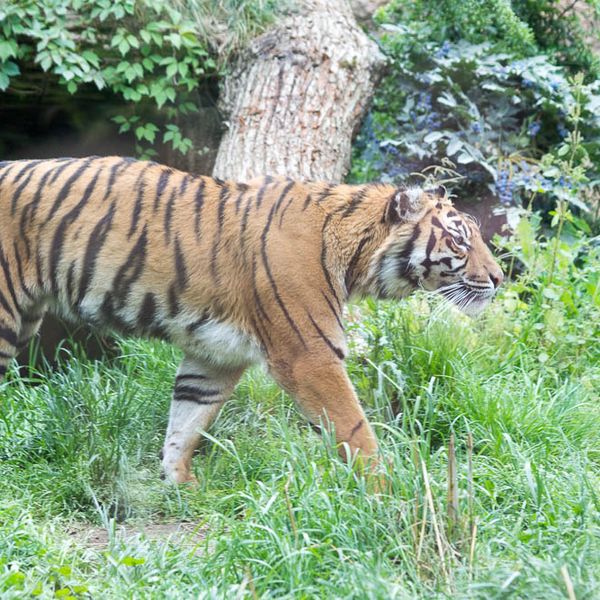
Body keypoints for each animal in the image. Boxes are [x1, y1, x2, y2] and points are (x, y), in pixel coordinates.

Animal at [0, 156, 503, 485]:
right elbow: (355, 428)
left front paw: (180, 485)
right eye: (460, 239)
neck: (355, 254)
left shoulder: (213, 359)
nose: (500, 278)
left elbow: (186, 423)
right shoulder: (309, 355)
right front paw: (390, 489)